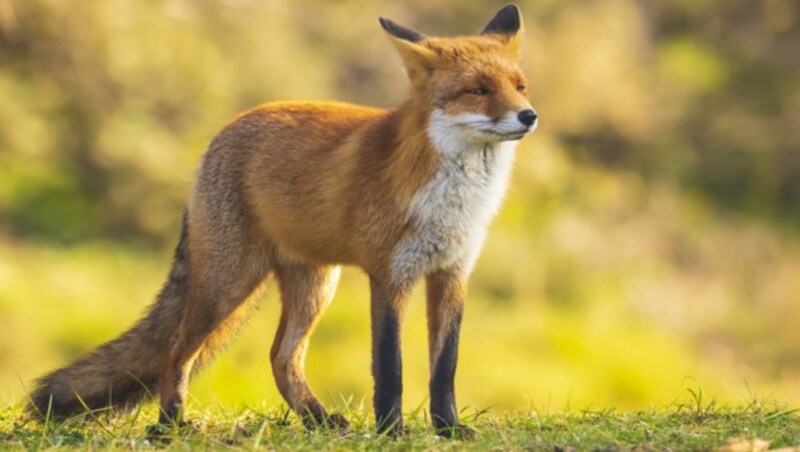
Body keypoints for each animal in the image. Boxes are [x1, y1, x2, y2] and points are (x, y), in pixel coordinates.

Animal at [26, 2, 536, 438]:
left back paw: (317, 420)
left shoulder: (452, 273)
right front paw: (391, 430)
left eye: (519, 86)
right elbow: (389, 365)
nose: (529, 116)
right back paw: (170, 424)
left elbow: (444, 367)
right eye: (478, 90)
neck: (455, 201)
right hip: (228, 284)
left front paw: (448, 429)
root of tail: (223, 131)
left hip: (314, 286)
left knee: (280, 357)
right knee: (176, 347)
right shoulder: (390, 275)